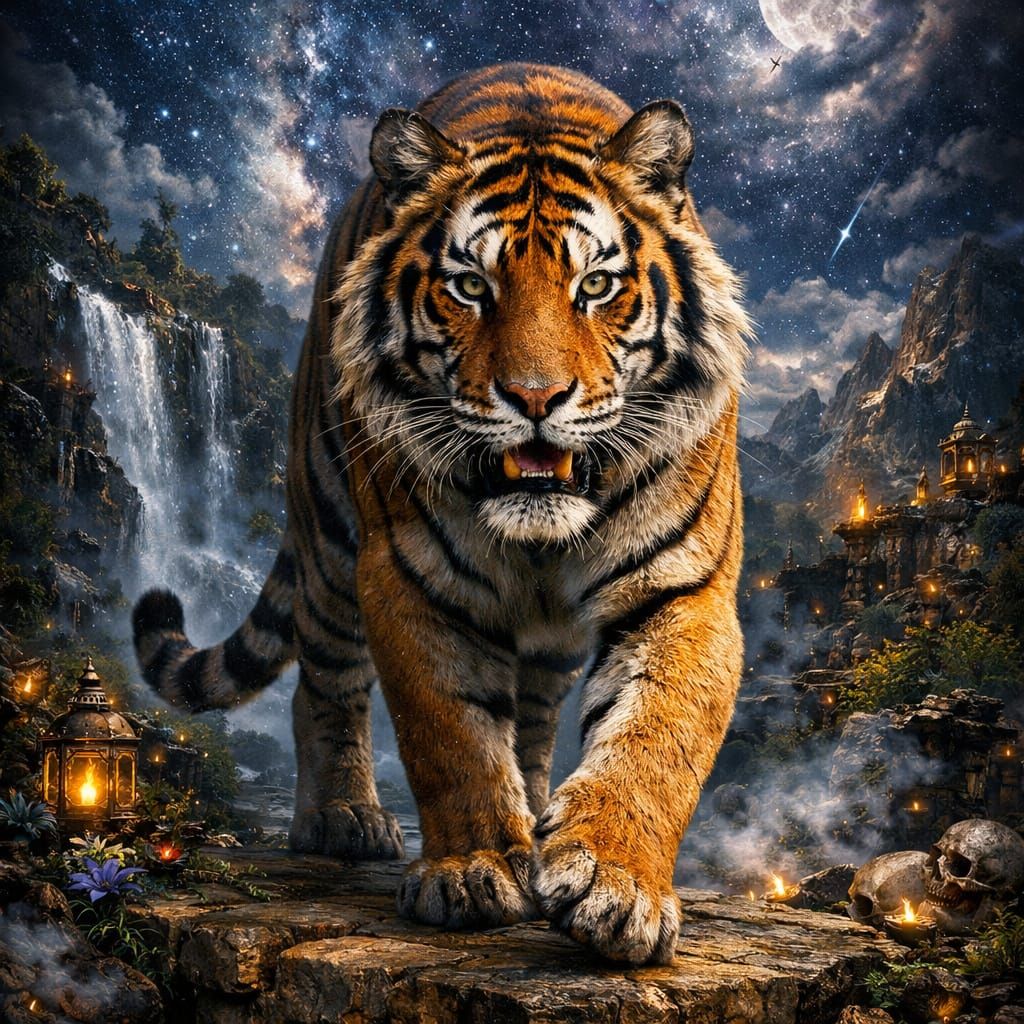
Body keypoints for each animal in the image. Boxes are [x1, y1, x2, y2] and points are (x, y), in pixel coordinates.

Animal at [132, 62, 750, 966]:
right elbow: (450, 733)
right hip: (329, 539)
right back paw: (341, 819)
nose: (535, 398)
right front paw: (473, 871)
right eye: (469, 287)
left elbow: (655, 738)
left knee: (533, 719)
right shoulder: (410, 575)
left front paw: (615, 882)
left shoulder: (683, 586)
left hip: (548, 644)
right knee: (323, 684)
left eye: (596, 286)